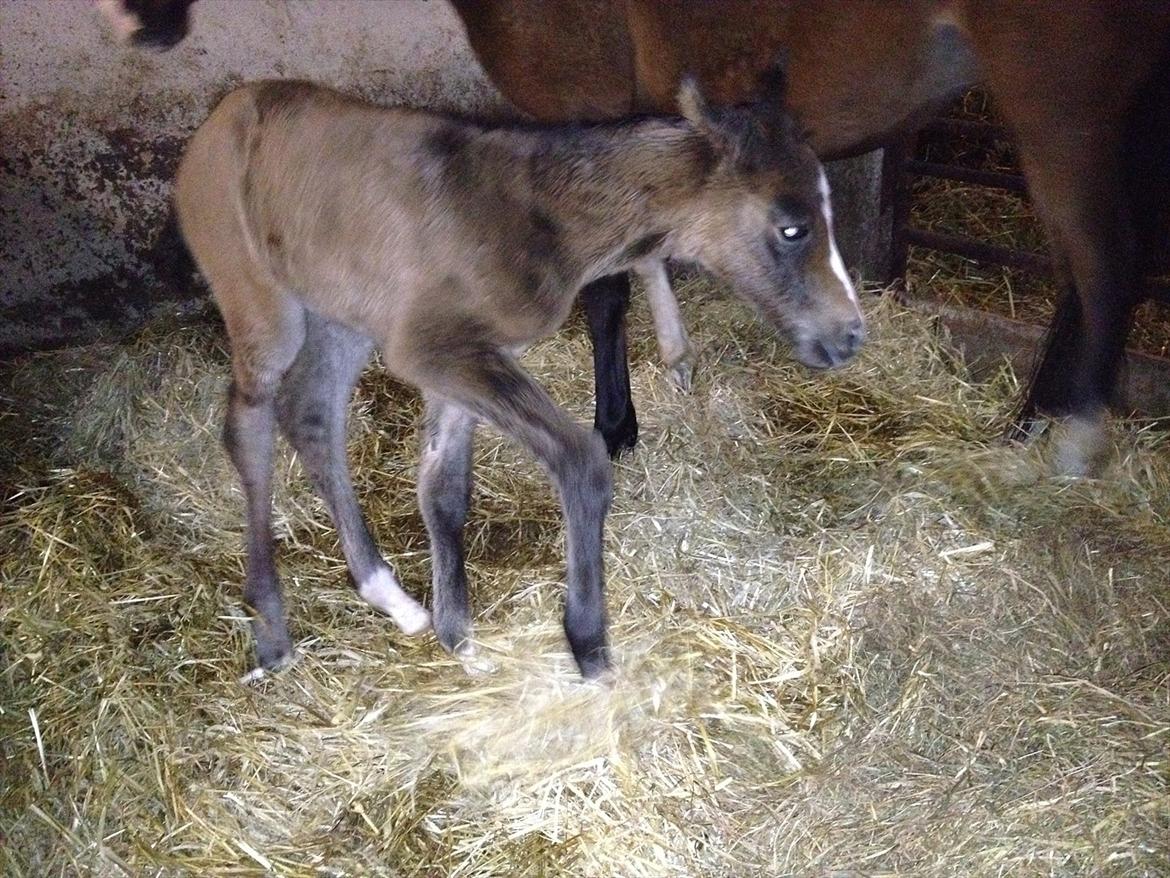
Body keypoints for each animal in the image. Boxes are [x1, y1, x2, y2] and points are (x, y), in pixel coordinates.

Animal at [175, 77, 870, 678]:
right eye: (792, 227)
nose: (850, 334)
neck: (543, 217)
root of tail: (221, 117)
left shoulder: (451, 362)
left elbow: (443, 489)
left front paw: (458, 638)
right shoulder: (438, 352)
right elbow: (580, 456)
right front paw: (589, 648)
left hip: (342, 318)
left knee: (312, 416)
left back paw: (391, 598)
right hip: (261, 304)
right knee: (249, 426)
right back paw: (272, 632)